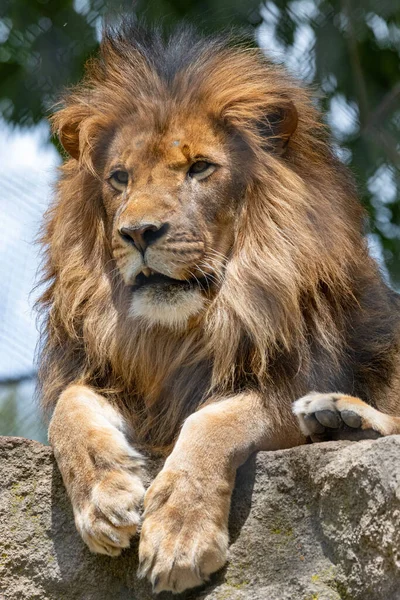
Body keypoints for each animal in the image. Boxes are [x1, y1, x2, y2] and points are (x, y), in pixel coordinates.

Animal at [37, 21, 400, 592]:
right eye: (120, 178)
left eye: (200, 168)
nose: (138, 233)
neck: (182, 332)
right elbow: (67, 410)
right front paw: (105, 497)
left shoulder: (289, 378)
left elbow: (216, 420)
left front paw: (179, 533)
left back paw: (342, 414)